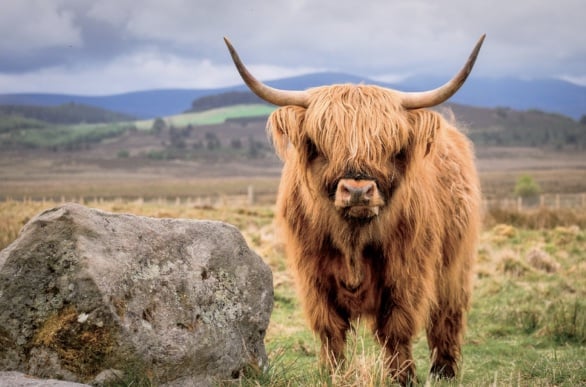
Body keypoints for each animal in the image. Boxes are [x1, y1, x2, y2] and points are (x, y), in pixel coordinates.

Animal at [224, 35, 484, 384]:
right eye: (321, 144)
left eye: (390, 146)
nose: (358, 191)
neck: (353, 238)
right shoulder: (313, 276)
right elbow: (329, 329)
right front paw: (332, 374)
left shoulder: (407, 273)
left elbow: (397, 328)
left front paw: (403, 377)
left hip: (456, 265)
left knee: (447, 314)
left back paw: (444, 370)